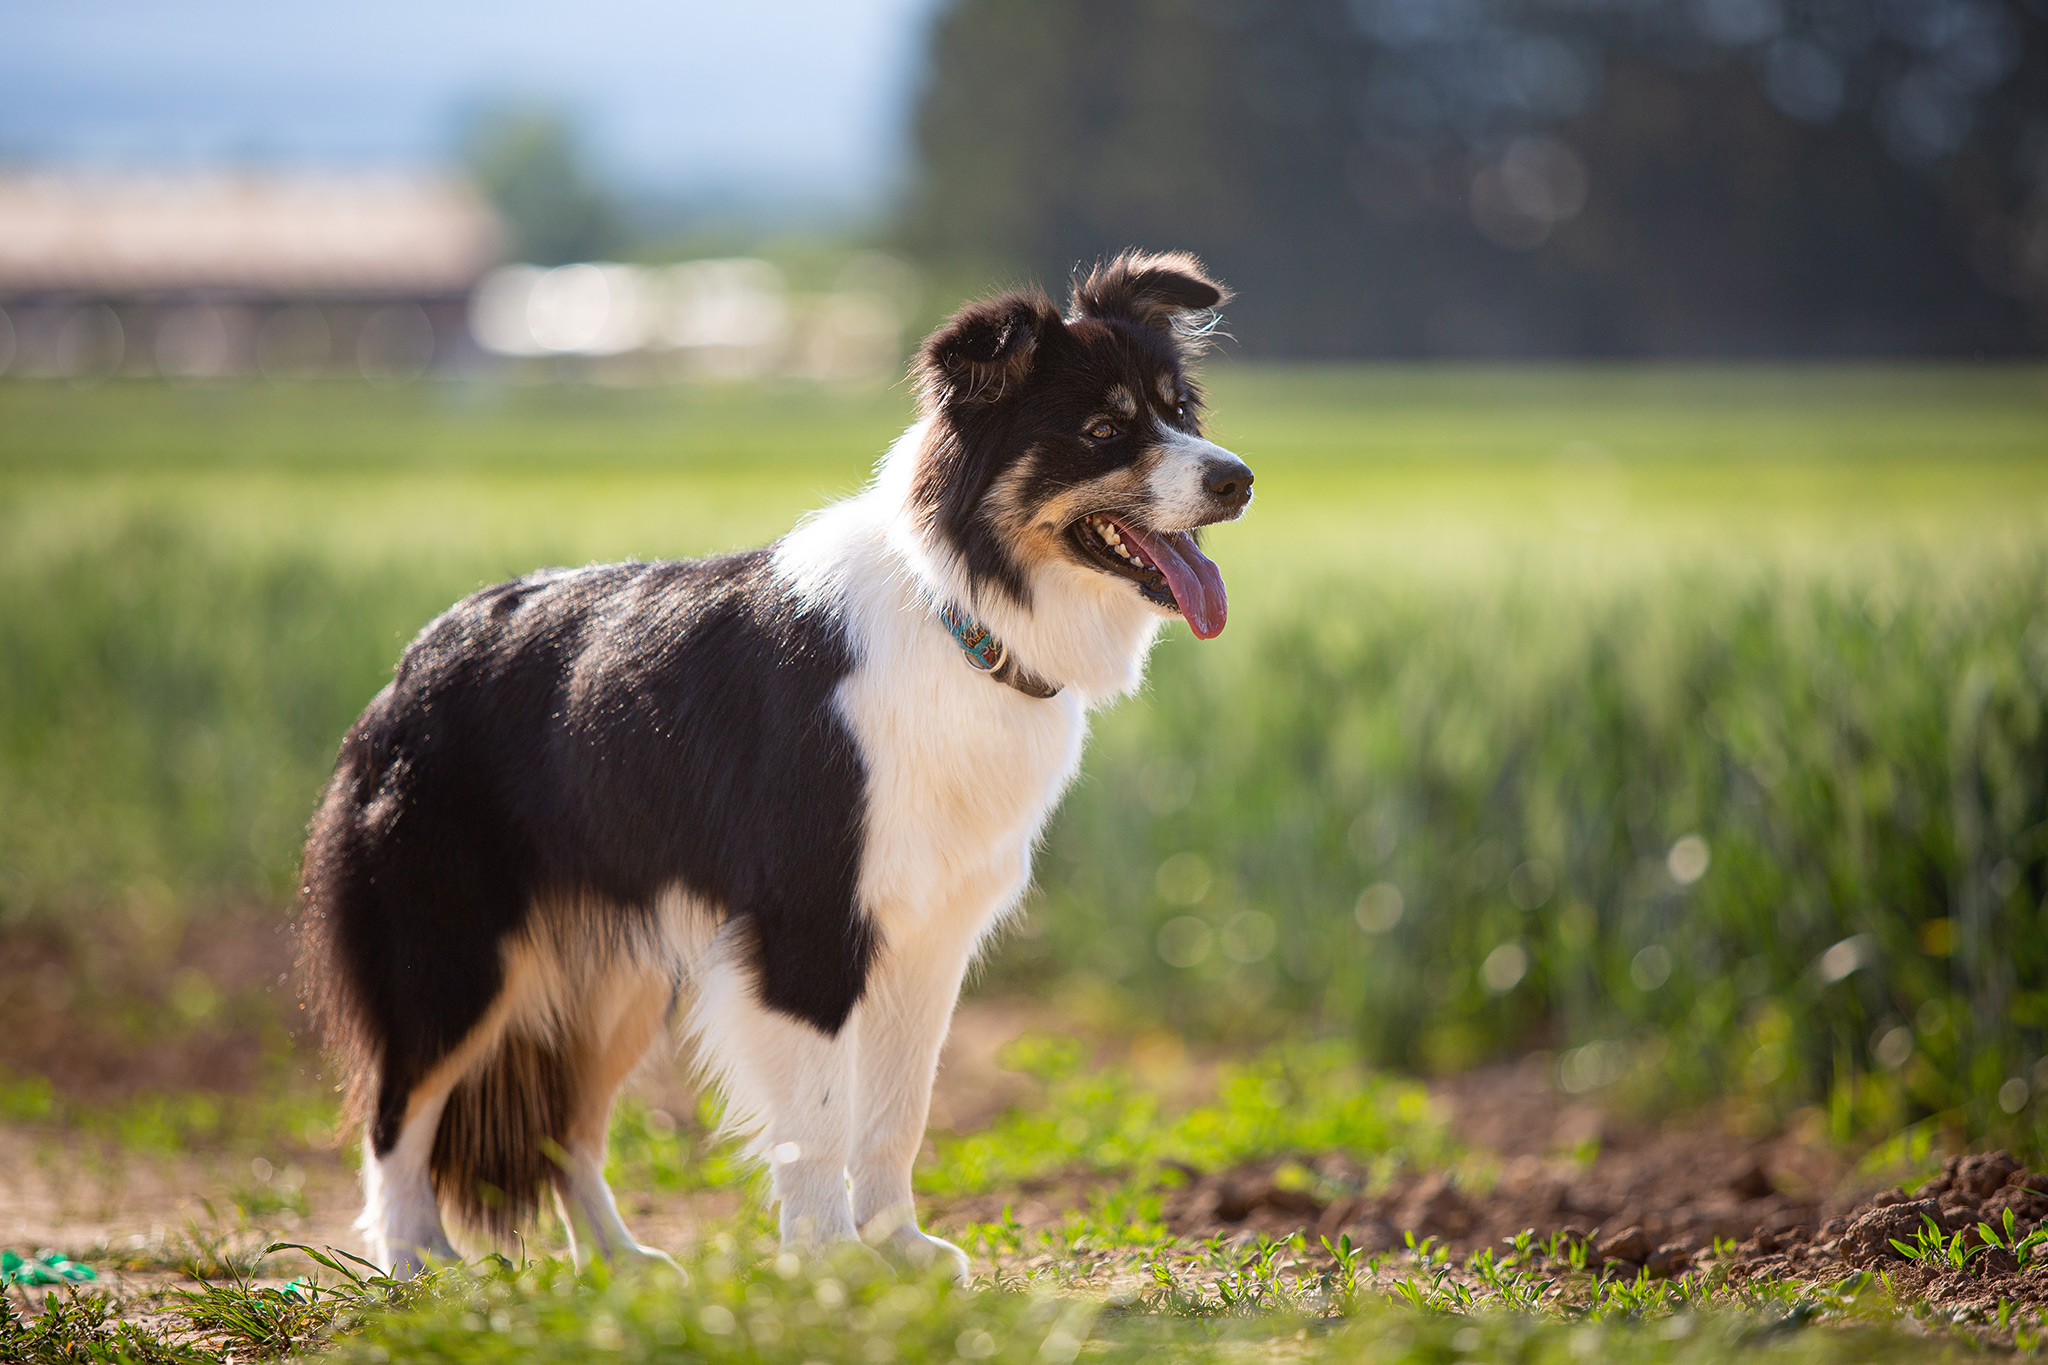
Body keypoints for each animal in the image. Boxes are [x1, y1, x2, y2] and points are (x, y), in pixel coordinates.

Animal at [296, 248, 1253, 1285]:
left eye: (1182, 412)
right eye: (1103, 431)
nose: (1240, 480)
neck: (961, 617)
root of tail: (413, 661)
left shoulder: (928, 934)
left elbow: (898, 1110)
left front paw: (897, 1248)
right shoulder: (808, 921)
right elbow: (822, 1120)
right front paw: (829, 1259)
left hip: (613, 978)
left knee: (565, 1127)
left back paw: (621, 1260)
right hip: (453, 948)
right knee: (397, 1110)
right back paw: (417, 1263)